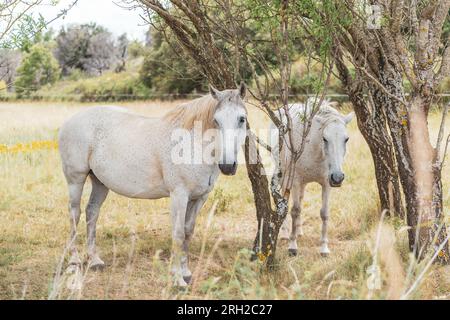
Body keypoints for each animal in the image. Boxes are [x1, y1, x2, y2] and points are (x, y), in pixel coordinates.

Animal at [58, 84, 248, 286]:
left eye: (241, 119)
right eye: (216, 120)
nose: (227, 165)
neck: (191, 144)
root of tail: (69, 121)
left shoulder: (199, 198)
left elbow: (188, 232)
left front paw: (186, 273)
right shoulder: (179, 195)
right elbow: (178, 234)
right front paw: (178, 280)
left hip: (100, 183)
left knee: (92, 212)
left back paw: (95, 260)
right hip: (76, 180)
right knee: (74, 214)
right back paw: (74, 262)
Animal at [270, 98, 356, 258]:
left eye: (346, 139)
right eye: (325, 138)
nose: (338, 177)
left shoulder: (326, 183)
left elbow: (324, 213)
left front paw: (324, 248)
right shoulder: (295, 181)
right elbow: (295, 210)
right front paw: (292, 246)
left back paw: (299, 231)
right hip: (284, 176)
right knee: (283, 201)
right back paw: (285, 234)